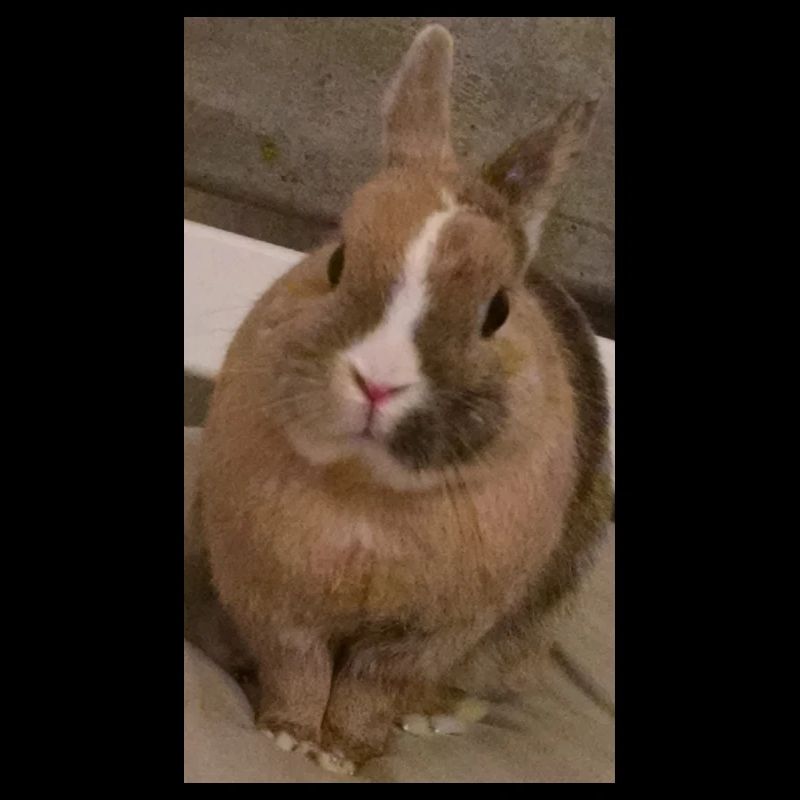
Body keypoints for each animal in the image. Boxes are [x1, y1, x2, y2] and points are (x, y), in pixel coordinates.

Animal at [199, 24, 612, 775]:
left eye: (497, 309)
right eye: (337, 262)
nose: (377, 380)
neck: (366, 495)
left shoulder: (425, 635)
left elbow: (370, 688)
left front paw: (346, 753)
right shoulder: (276, 606)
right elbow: (298, 670)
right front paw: (290, 736)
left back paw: (433, 717)